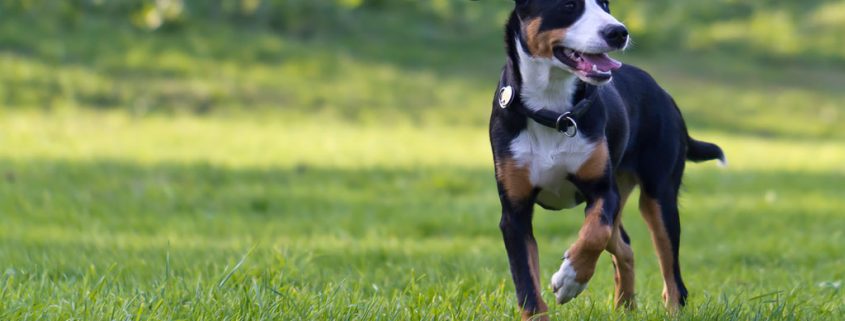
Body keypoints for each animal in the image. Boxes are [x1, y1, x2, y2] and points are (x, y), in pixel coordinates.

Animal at [492, 0, 724, 318]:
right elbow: (527, 286)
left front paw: (570, 280)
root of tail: (663, 92)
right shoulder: (514, 212)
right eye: (568, 5)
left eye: (605, 5)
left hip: (659, 197)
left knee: (673, 279)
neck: (552, 111)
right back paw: (625, 307)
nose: (618, 32)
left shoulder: (603, 190)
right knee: (624, 246)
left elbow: (594, 235)